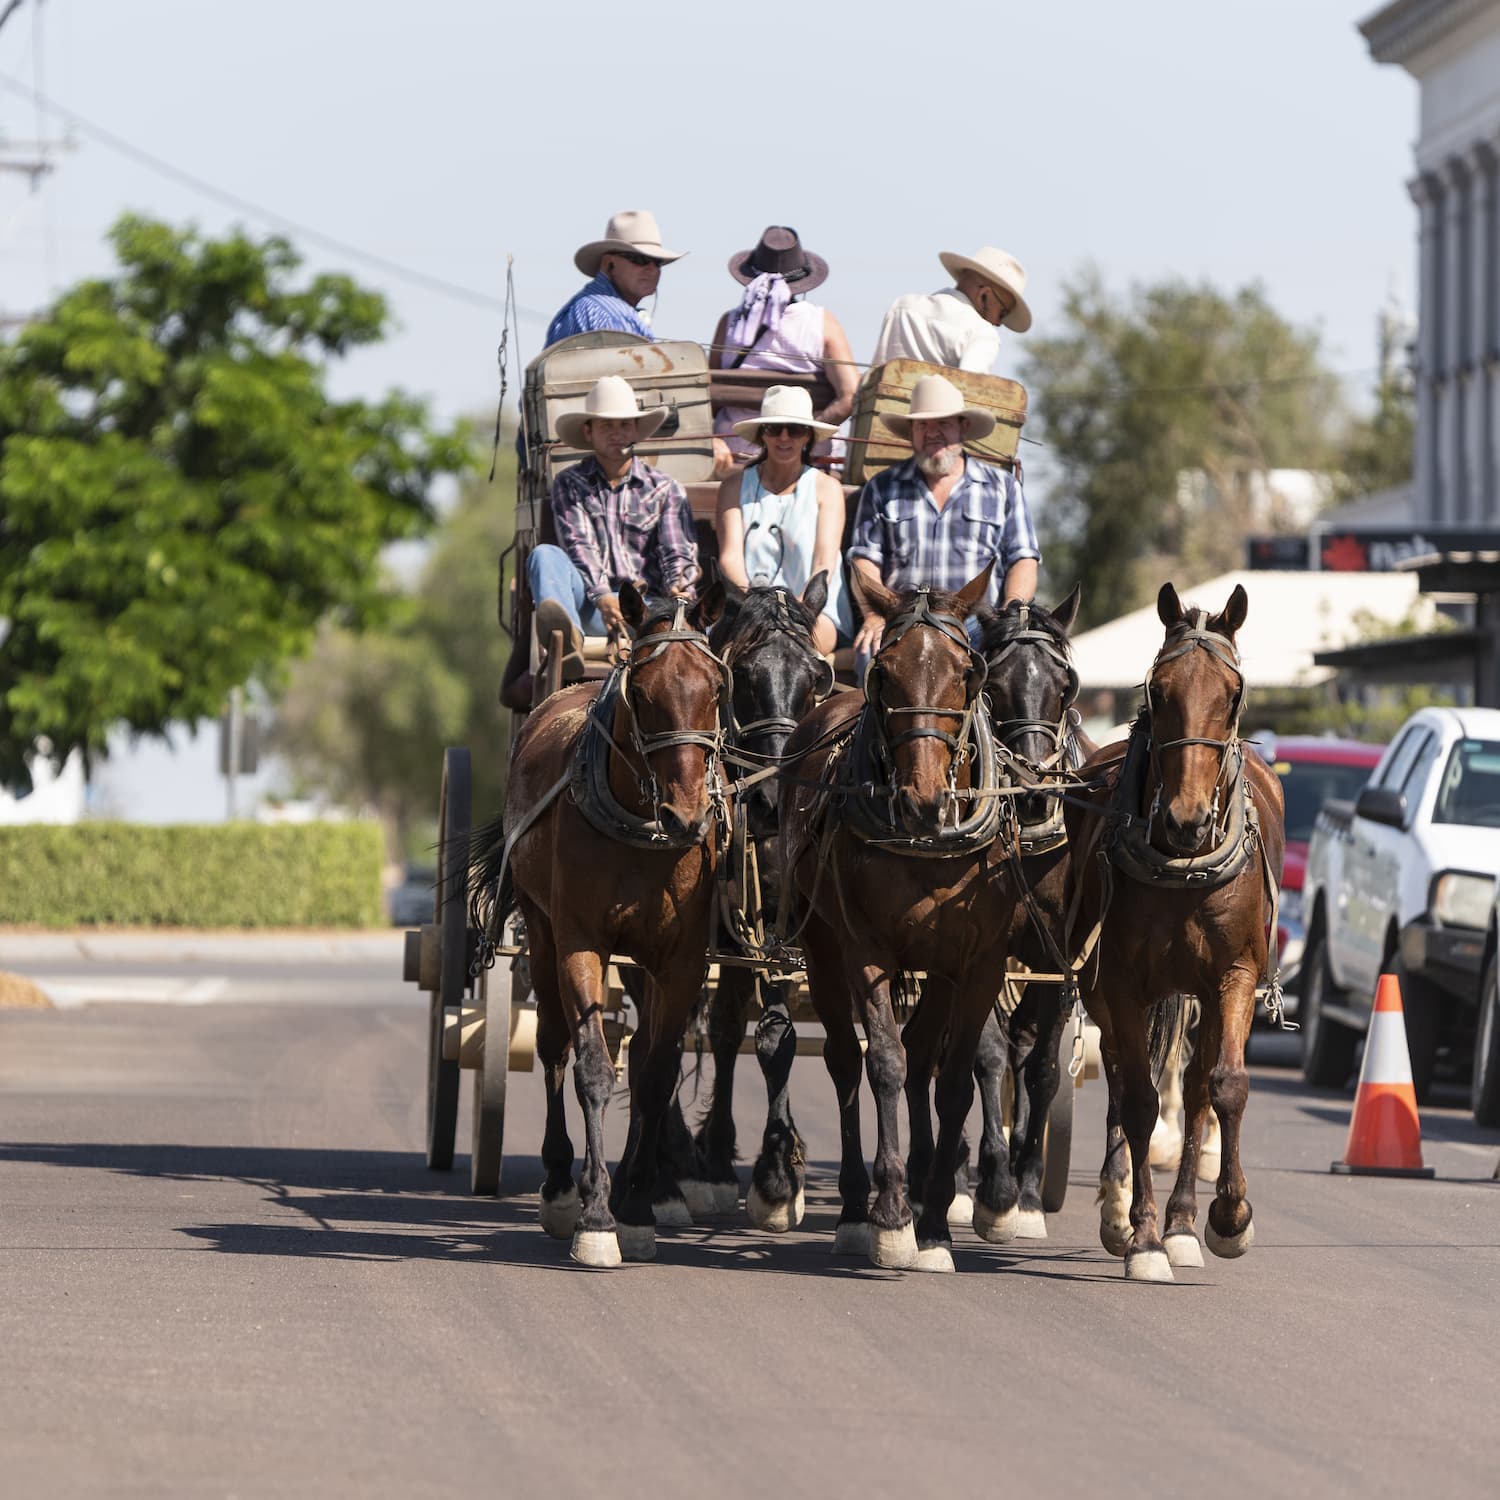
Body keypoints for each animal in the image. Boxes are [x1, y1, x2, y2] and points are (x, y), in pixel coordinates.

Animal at [465, 585, 729, 1266]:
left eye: (718, 686)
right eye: (643, 690)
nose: (687, 815)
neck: (643, 834)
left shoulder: (682, 959)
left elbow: (656, 1073)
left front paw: (635, 1207)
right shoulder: (580, 942)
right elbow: (591, 1066)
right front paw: (597, 1217)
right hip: (541, 927)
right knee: (555, 1044)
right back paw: (563, 1183)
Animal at [774, 567, 1020, 1272]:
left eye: (969, 673)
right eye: (883, 673)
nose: (922, 802)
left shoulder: (977, 960)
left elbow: (956, 1077)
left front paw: (934, 1219)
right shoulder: (866, 949)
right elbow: (882, 1061)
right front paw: (889, 1216)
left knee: (925, 1052)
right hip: (821, 945)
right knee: (843, 1058)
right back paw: (858, 1205)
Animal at [1062, 579, 1284, 1284]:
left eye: (1233, 693)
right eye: (1157, 690)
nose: (1186, 820)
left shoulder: (1233, 976)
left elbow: (1225, 1086)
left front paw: (1227, 1218)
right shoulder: (1121, 982)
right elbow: (1134, 1098)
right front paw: (1142, 1236)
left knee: (1194, 1088)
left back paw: (1186, 1222)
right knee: (1123, 1078)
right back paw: (1123, 1206)